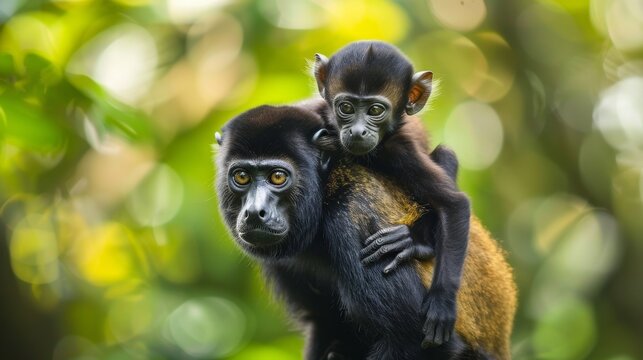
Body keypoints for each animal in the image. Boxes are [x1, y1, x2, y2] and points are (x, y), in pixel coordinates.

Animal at [214, 102, 516, 358]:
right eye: (242, 176)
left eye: (278, 176)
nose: (255, 212)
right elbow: (322, 324)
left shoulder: (353, 218)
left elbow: (414, 339)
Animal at [314, 42, 470, 348]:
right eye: (346, 107)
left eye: (376, 110)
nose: (357, 131)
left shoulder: (401, 148)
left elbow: (454, 205)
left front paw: (442, 303)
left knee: (446, 154)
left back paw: (414, 242)